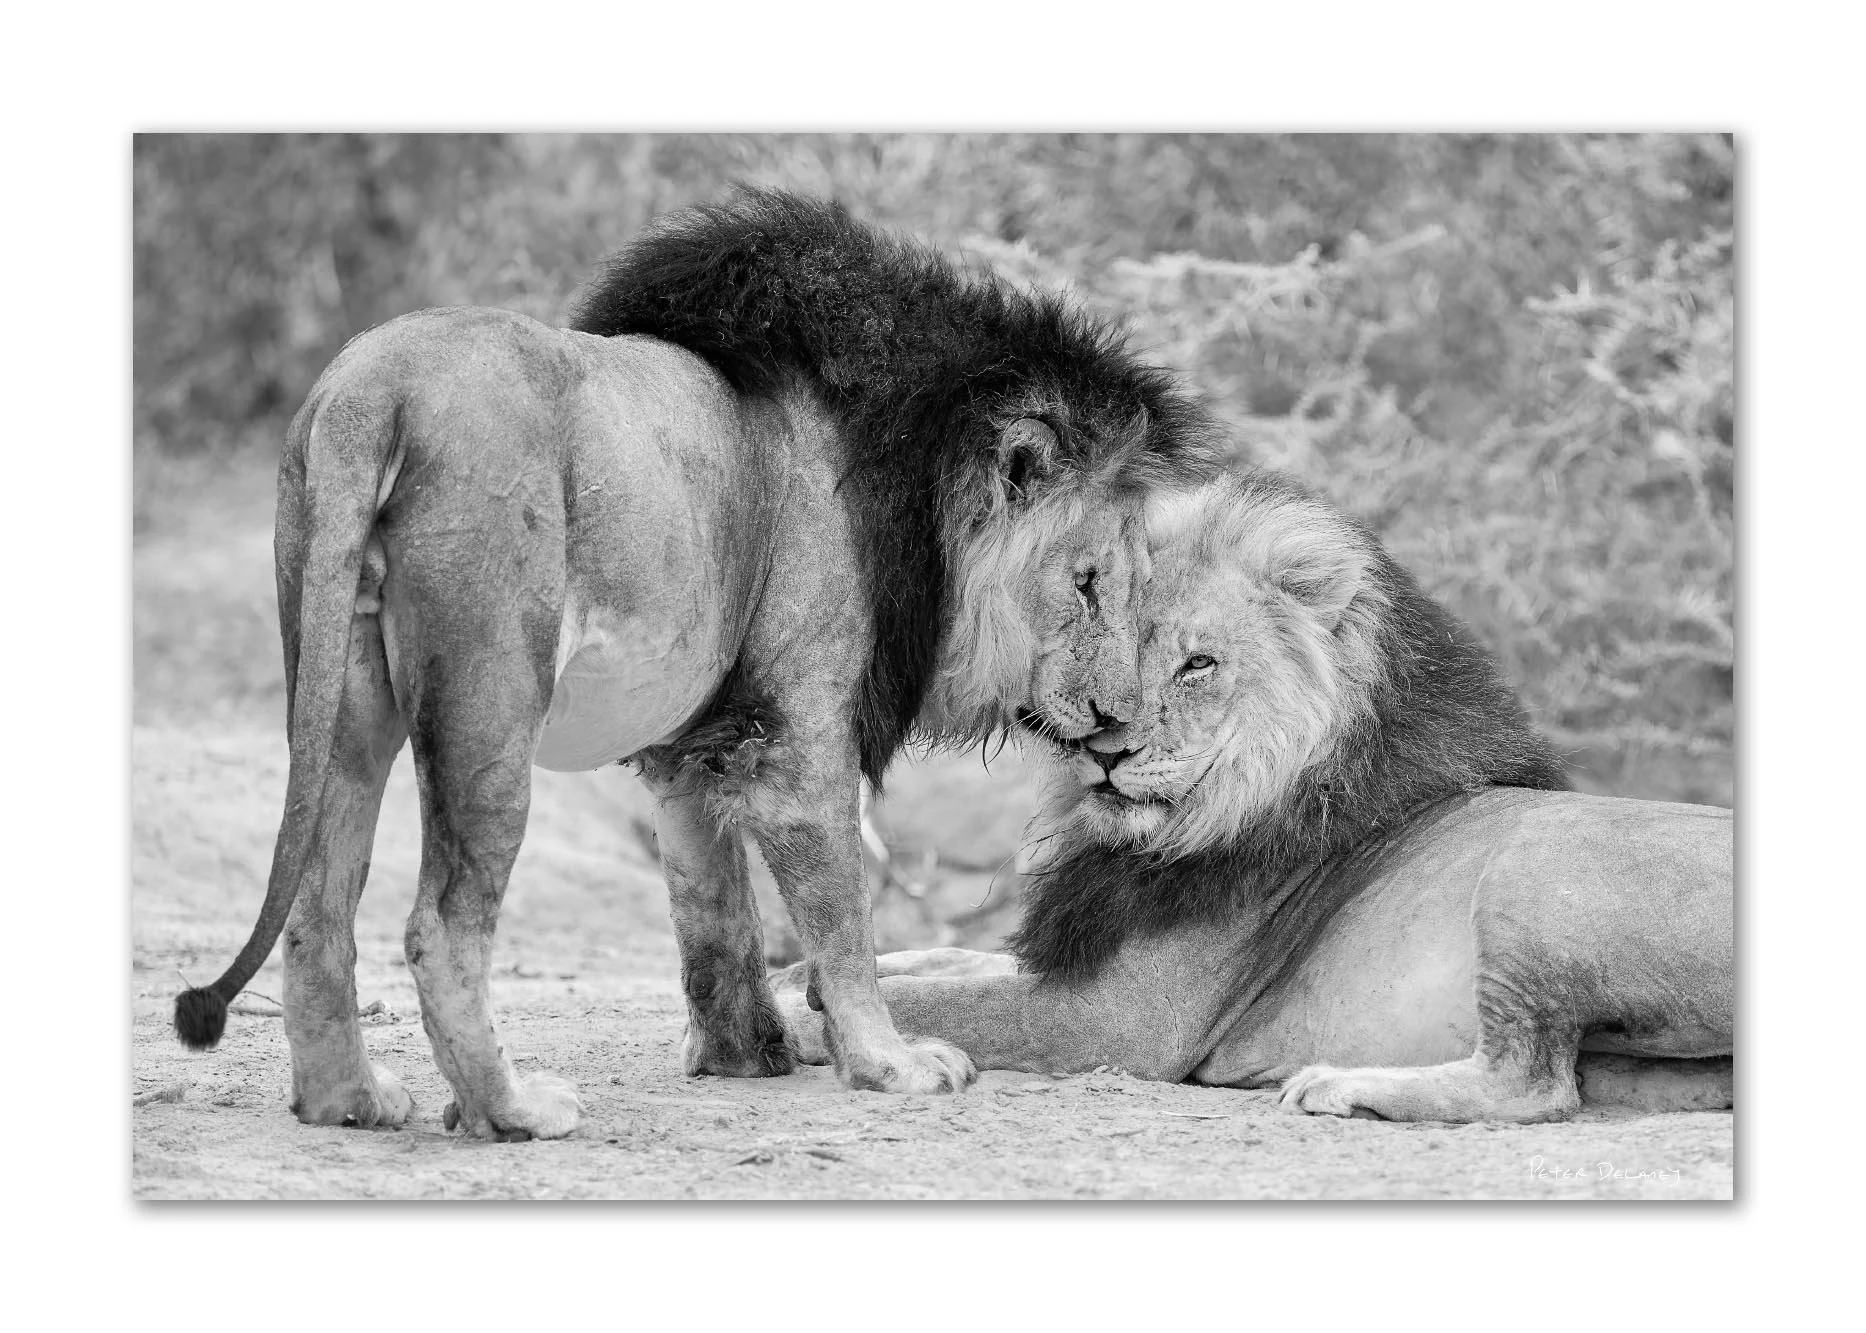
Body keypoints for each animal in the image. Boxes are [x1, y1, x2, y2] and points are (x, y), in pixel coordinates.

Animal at [171, 190, 1221, 1139]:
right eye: (1087, 582)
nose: (1123, 717)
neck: (912, 481)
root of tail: (370, 387)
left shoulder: (692, 745)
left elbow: (712, 910)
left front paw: (744, 1053)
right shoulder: (804, 736)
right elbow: (842, 917)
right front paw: (888, 1063)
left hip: (345, 692)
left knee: (319, 904)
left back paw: (348, 1099)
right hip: (491, 697)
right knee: (440, 924)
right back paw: (511, 1109)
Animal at [775, 470, 1733, 1123]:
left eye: (1197, 663)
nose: (1108, 746)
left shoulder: (1120, 1020)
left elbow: (943, 1000)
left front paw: (810, 1021)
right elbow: (939, 960)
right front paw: (794, 979)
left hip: (1537, 860)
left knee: (1534, 1082)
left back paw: (1341, 1084)